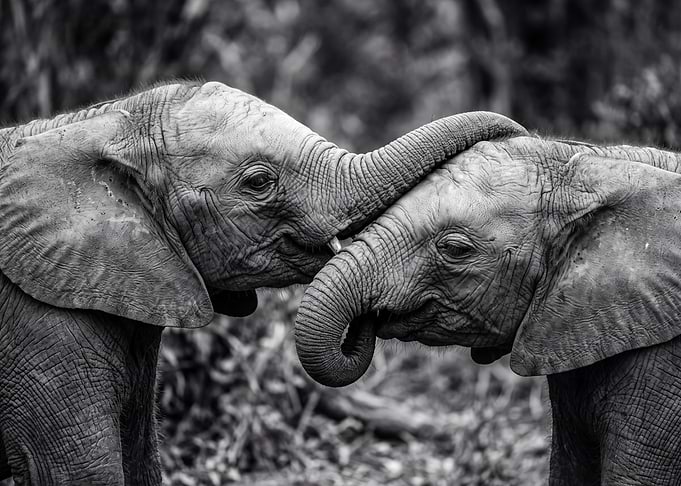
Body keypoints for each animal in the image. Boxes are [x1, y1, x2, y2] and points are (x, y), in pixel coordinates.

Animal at [0, 80, 525, 484]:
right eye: (258, 183)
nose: (517, 134)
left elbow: (141, 459)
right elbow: (84, 472)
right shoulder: (40, 326)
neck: (102, 122)